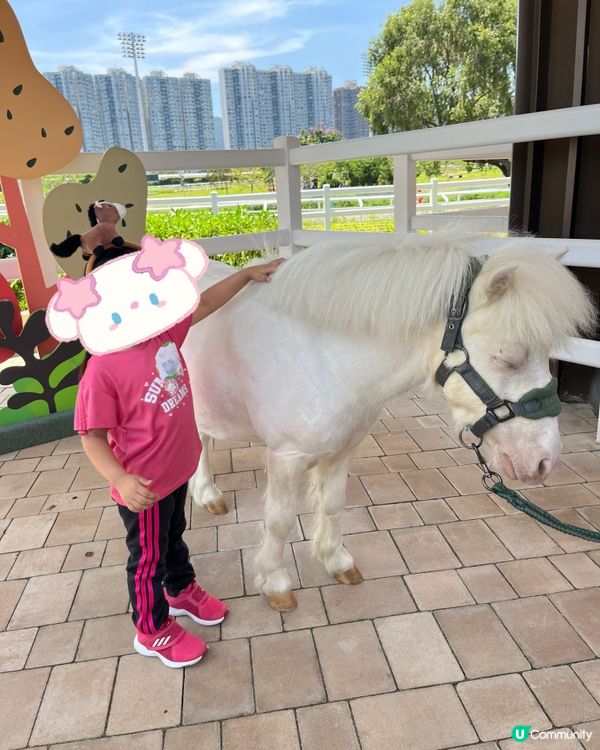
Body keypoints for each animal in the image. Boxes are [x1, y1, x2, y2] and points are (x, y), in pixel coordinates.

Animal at [183, 233, 594, 612]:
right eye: (507, 356)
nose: (544, 461)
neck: (321, 356)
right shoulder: (286, 457)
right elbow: (280, 520)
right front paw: (275, 583)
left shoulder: (343, 449)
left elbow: (333, 504)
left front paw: (337, 561)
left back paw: (206, 494)